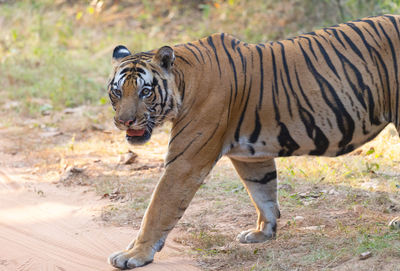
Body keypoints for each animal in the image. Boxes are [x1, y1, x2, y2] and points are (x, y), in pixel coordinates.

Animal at [108, 15, 400, 270]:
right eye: (117, 92)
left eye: (146, 91)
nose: (124, 121)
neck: (184, 81)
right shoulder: (251, 155)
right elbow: (263, 193)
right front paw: (263, 232)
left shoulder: (186, 162)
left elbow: (158, 209)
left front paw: (134, 254)